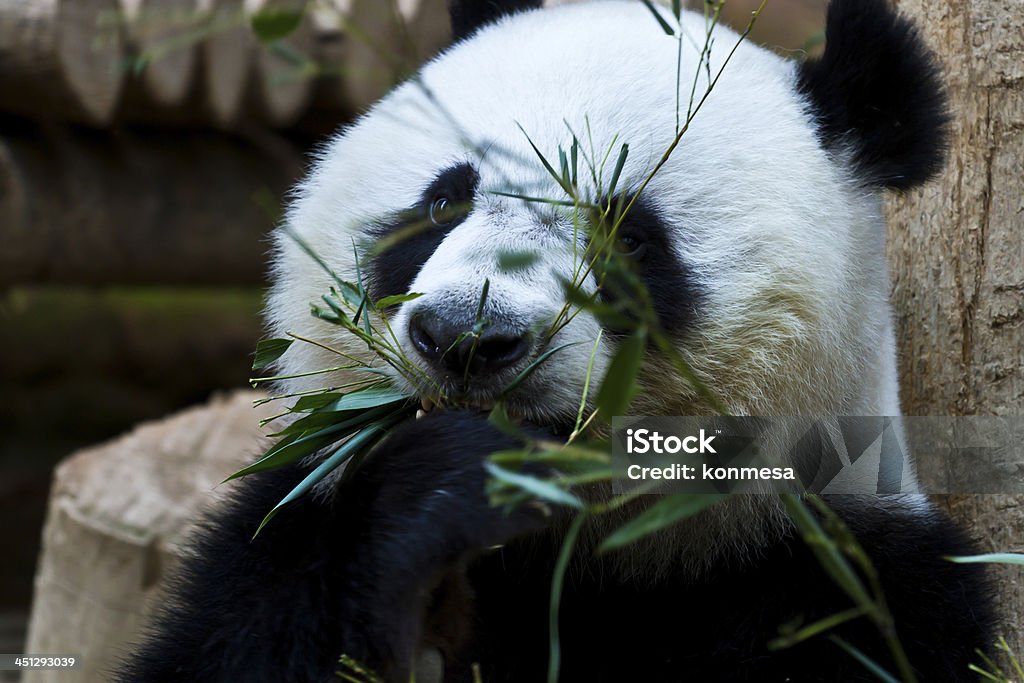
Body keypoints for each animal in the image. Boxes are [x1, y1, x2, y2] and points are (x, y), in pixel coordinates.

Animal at [117, 1, 991, 683]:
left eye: (627, 237)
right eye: (444, 203)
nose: (466, 337)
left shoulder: (842, 577)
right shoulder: (288, 526)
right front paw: (442, 488)